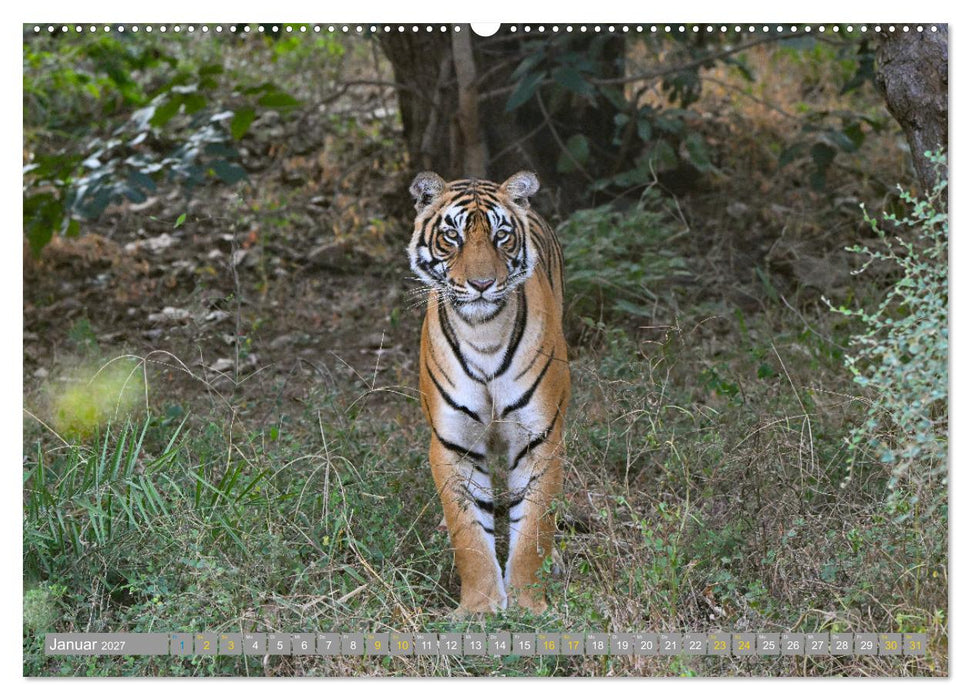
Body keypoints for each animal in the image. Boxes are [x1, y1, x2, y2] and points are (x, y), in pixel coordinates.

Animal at [408, 170, 570, 615]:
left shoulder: (539, 439)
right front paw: (479, 608)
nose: (482, 284)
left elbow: (533, 531)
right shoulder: (453, 444)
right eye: (453, 236)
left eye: (501, 236)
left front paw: (529, 606)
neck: (483, 333)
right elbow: (468, 535)